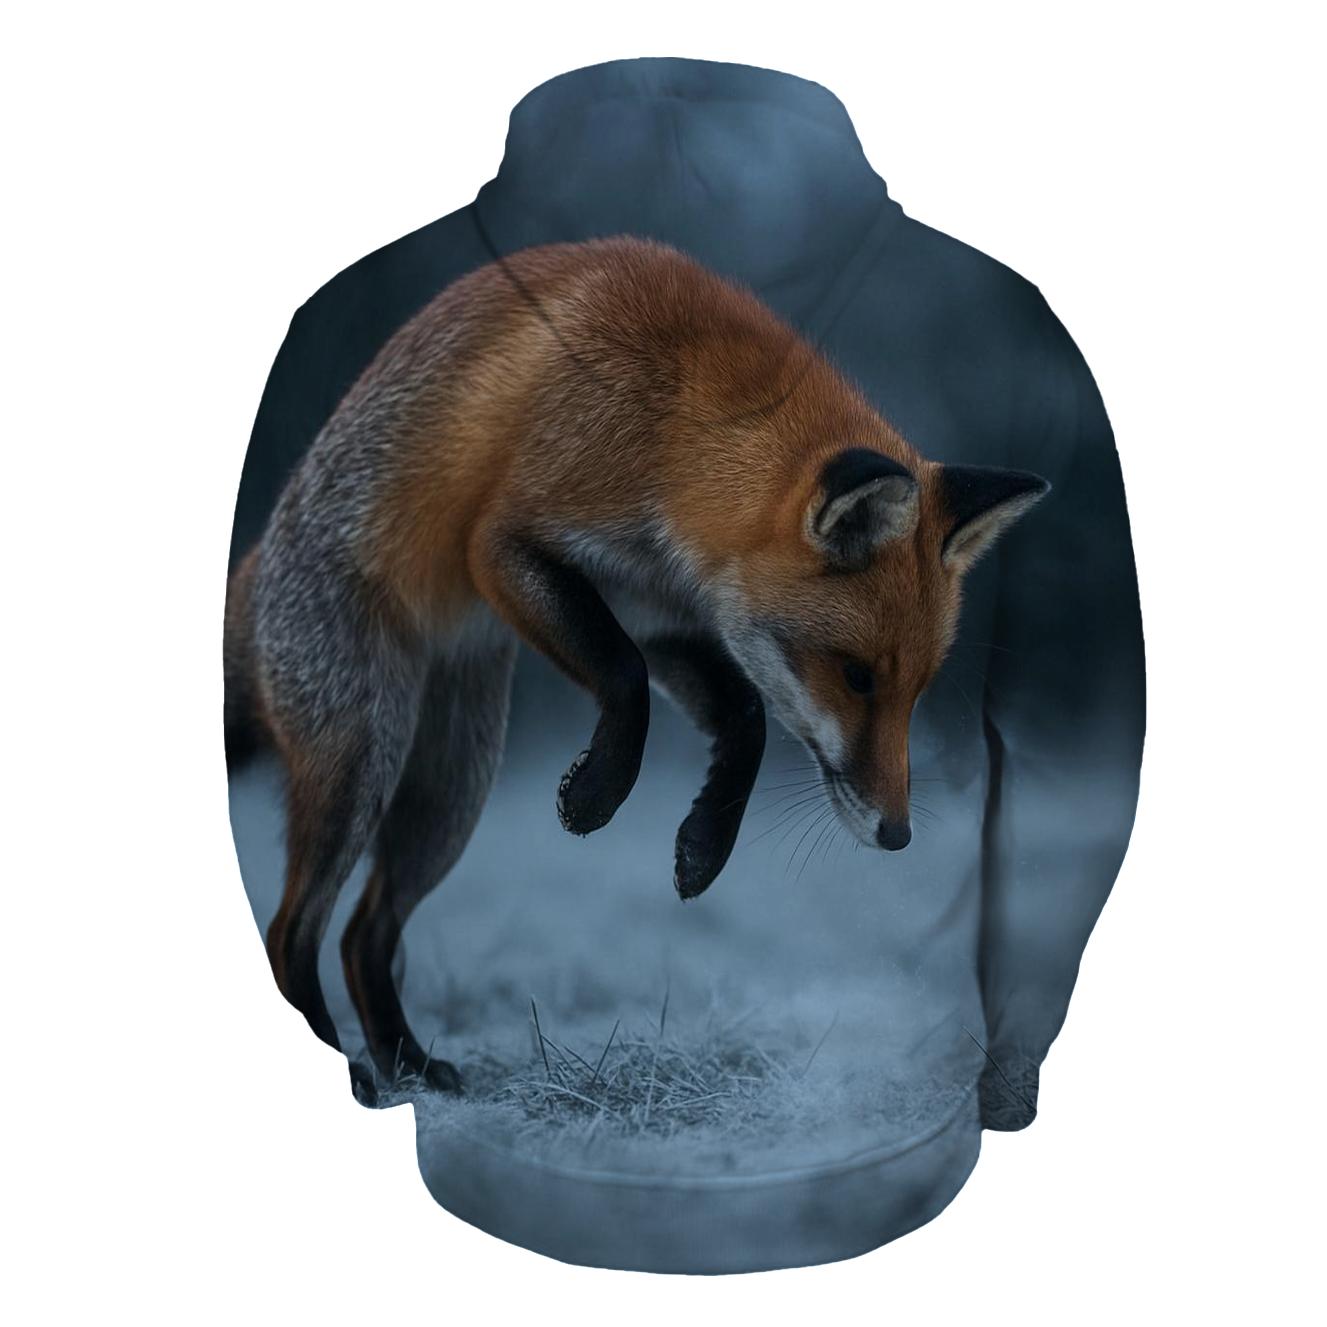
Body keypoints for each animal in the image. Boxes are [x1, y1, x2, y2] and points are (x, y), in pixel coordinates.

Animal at [224, 236, 1049, 1100]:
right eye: (857, 677)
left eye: (917, 689)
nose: (896, 834)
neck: (673, 429)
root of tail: (259, 560)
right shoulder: (506, 544)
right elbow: (620, 673)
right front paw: (596, 795)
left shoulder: (658, 607)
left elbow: (746, 719)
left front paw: (702, 847)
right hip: (364, 758)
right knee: (291, 933)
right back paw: (345, 1067)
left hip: (449, 792)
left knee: (363, 935)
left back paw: (407, 1061)